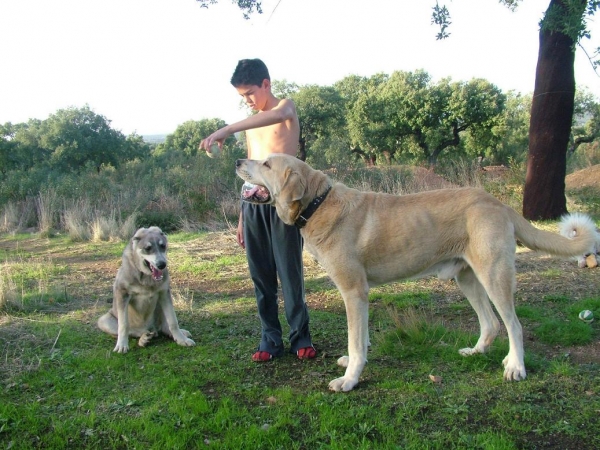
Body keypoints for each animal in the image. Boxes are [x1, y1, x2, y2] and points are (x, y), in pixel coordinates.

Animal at [237, 154, 596, 390]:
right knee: (492, 324)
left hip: (494, 276)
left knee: (514, 326)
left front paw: (350, 379)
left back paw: (516, 368)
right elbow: (361, 339)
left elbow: (355, 341)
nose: (239, 159)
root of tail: (498, 203)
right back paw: (479, 352)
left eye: (267, 164)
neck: (317, 203)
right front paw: (353, 365)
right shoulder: (360, 295)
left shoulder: (354, 291)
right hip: (467, 279)